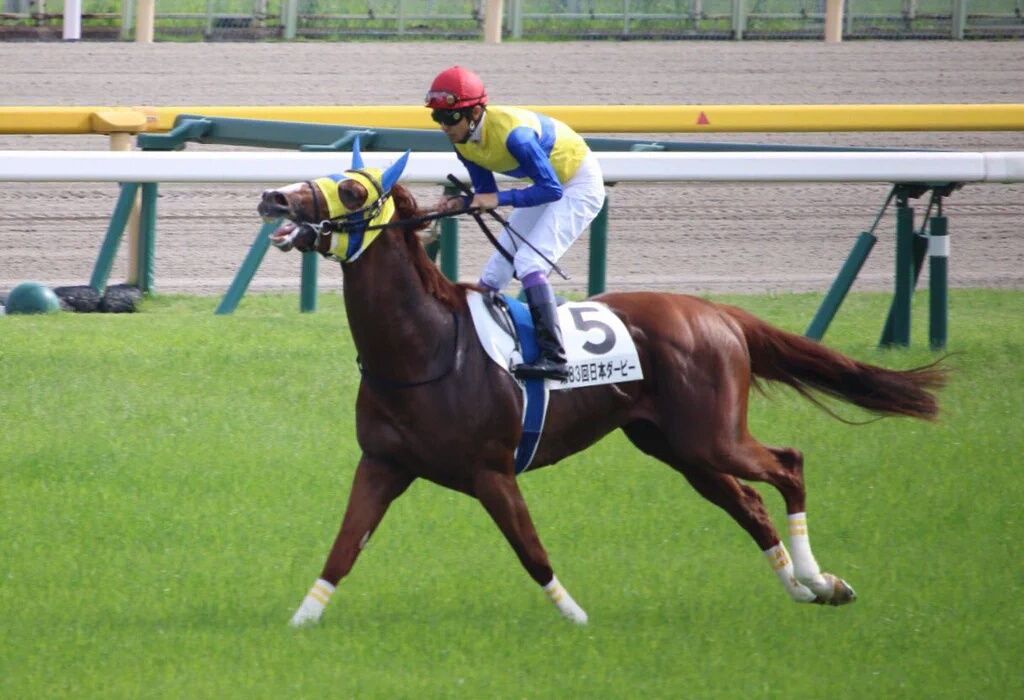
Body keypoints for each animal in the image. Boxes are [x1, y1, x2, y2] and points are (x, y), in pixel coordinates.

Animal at [256, 148, 945, 627]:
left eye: (351, 187)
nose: (272, 197)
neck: (425, 348)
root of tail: (717, 312)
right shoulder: (383, 463)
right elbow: (342, 550)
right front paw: (298, 623)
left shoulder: (490, 471)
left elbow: (531, 551)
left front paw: (577, 619)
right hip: (678, 446)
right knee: (748, 504)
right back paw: (805, 587)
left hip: (714, 435)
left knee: (788, 464)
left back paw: (819, 579)